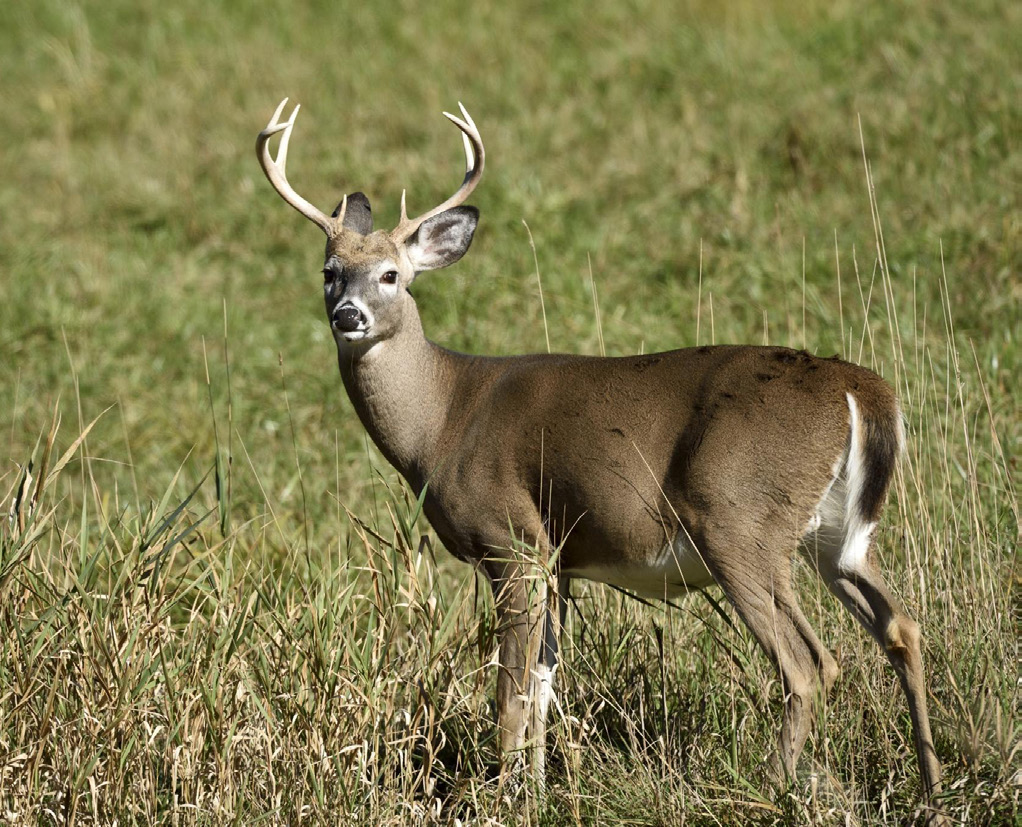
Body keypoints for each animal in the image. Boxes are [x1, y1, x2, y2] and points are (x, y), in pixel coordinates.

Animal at [259, 96, 944, 817]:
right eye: (329, 271)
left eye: (392, 274)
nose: (348, 314)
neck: (442, 419)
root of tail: (860, 390)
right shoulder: (559, 559)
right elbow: (542, 683)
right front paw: (534, 795)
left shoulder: (512, 539)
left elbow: (509, 691)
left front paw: (504, 801)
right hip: (837, 534)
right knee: (901, 628)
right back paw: (933, 787)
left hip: (738, 520)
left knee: (809, 663)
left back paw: (771, 788)